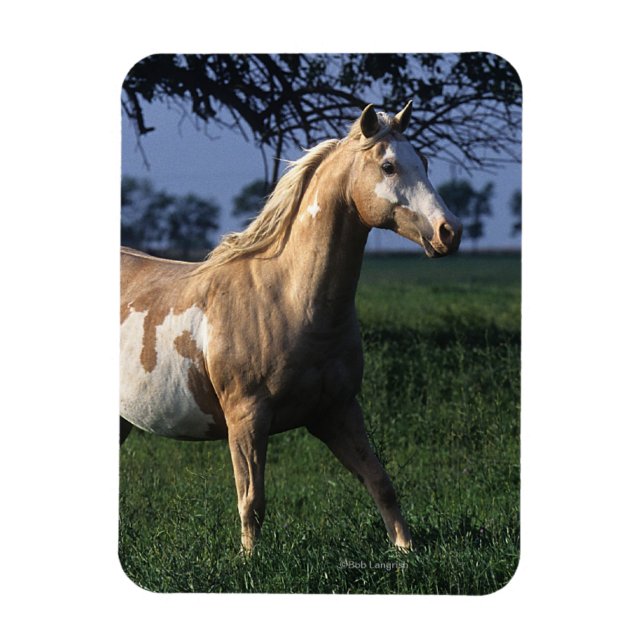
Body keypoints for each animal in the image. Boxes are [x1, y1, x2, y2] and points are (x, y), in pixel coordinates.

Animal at [120, 102, 462, 553]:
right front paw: (249, 561)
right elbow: (252, 500)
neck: (289, 300)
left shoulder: (338, 411)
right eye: (388, 166)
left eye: (422, 161)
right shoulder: (247, 418)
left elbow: (381, 482)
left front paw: (406, 550)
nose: (449, 232)